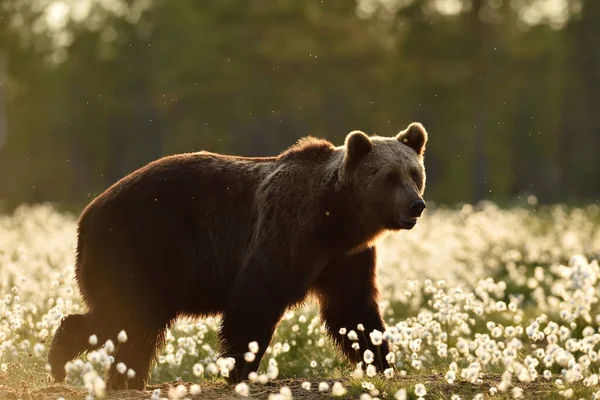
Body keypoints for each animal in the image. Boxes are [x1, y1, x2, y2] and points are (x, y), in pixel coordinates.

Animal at [49, 122, 428, 390]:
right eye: (390, 177)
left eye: (414, 173)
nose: (416, 205)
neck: (337, 218)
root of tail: (87, 213)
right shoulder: (285, 232)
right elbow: (255, 298)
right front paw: (240, 368)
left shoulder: (346, 258)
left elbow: (353, 311)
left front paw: (382, 361)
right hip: (139, 245)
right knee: (126, 313)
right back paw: (62, 359)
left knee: (136, 326)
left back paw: (125, 379)